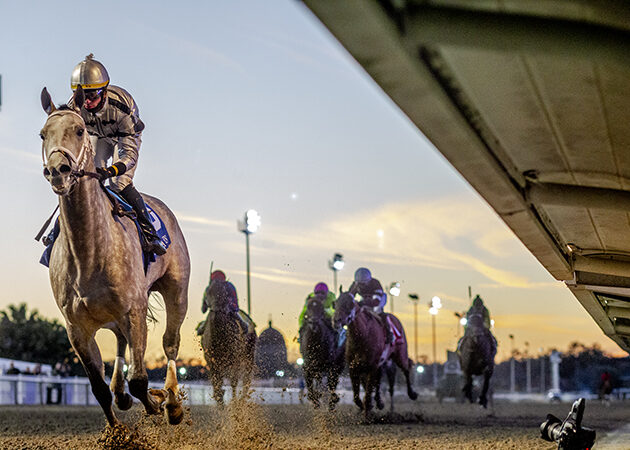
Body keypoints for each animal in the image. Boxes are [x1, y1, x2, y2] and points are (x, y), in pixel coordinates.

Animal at [40, 86, 190, 428]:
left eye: (78, 130)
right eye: (42, 134)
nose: (58, 171)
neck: (89, 253)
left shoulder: (135, 310)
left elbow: (141, 380)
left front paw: (157, 403)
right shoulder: (76, 328)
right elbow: (98, 388)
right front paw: (117, 430)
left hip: (177, 291)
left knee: (170, 344)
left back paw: (172, 402)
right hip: (112, 317)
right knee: (121, 346)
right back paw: (123, 393)